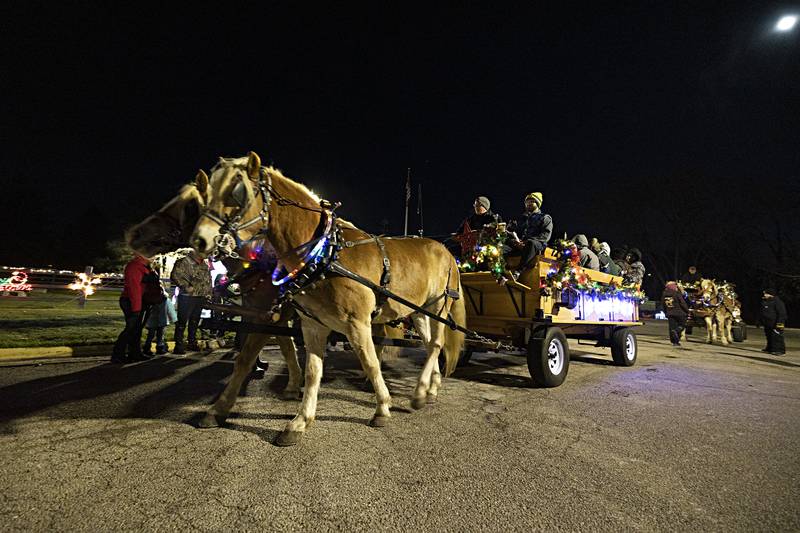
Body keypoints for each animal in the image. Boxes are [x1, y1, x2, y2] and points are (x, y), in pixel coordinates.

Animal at [190, 153, 466, 444]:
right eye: (205, 194)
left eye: (237, 192)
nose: (201, 240)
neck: (325, 254)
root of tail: (446, 251)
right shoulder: (312, 324)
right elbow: (312, 370)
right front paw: (299, 420)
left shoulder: (356, 323)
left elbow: (370, 362)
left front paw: (382, 408)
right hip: (419, 311)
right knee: (428, 344)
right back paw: (430, 390)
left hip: (440, 304)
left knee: (436, 344)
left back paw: (420, 392)